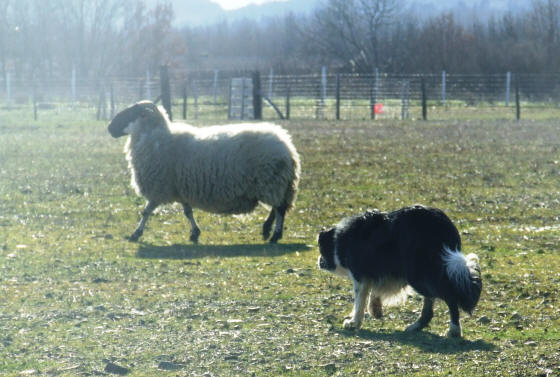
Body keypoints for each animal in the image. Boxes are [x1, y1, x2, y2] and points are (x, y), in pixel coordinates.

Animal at [107, 100, 300, 242]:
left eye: (131, 113)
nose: (109, 128)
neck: (154, 137)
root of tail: (287, 145)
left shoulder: (160, 187)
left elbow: (147, 211)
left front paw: (136, 233)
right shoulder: (179, 187)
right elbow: (187, 212)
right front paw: (195, 233)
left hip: (272, 182)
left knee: (280, 208)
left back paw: (275, 235)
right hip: (275, 184)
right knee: (277, 207)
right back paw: (267, 229)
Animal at [318, 204, 484, 336]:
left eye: (321, 249)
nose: (318, 261)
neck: (339, 239)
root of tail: (443, 226)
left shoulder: (360, 275)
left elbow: (359, 300)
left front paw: (353, 322)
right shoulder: (381, 272)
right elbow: (374, 291)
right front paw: (375, 310)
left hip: (418, 274)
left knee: (449, 296)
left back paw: (453, 330)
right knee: (430, 305)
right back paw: (415, 326)